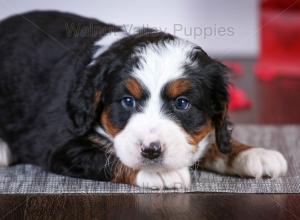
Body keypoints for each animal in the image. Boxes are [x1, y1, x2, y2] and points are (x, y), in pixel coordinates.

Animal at [0, 11, 288, 188]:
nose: (151, 151)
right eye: (128, 101)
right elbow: (108, 155)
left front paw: (254, 153)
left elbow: (215, 141)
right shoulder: (59, 145)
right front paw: (160, 172)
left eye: (181, 103)